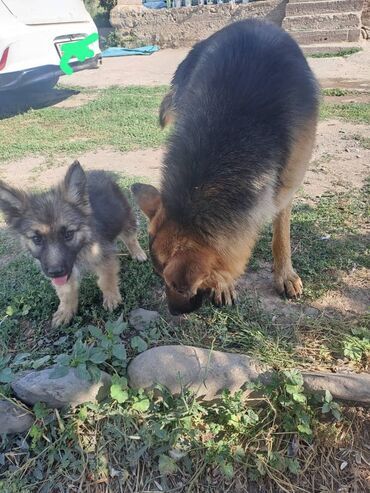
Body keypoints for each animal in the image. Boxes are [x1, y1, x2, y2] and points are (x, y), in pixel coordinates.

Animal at [0, 161, 147, 326]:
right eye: (37, 239)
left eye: (68, 234)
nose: (55, 272)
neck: (81, 249)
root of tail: (98, 172)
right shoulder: (64, 273)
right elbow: (65, 292)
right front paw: (66, 310)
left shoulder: (104, 258)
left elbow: (105, 279)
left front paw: (111, 297)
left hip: (123, 217)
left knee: (130, 237)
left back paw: (138, 252)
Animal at [132, 20, 320, 316]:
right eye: (160, 278)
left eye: (178, 287)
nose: (173, 312)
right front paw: (223, 285)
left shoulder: (287, 181)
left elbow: (281, 234)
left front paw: (285, 275)